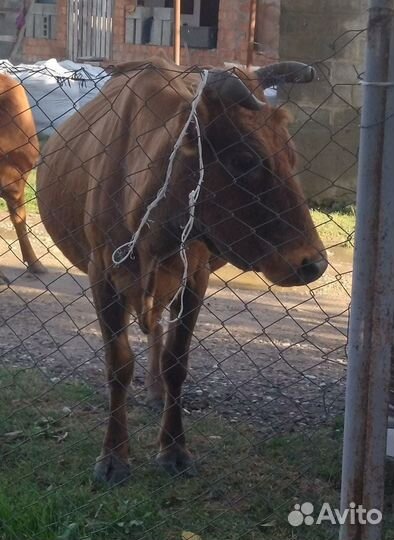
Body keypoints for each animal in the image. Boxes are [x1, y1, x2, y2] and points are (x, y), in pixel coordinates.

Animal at [37, 58, 328, 486]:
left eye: (292, 156)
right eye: (245, 160)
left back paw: (158, 391)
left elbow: (177, 361)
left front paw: (173, 448)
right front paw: (114, 456)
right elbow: (118, 365)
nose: (313, 262)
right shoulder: (102, 273)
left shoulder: (195, 274)